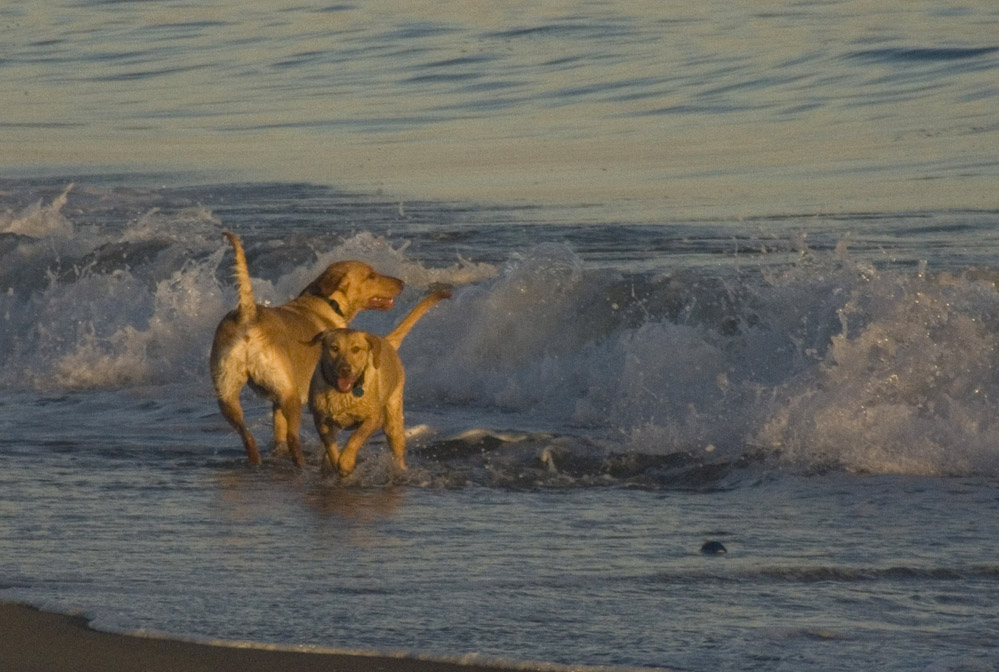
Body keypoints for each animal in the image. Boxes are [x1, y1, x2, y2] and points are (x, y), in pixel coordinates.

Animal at [210, 231, 402, 468]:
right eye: (371, 276)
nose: (402, 282)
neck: (326, 302)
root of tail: (248, 314)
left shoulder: (276, 402)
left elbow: (278, 434)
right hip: (290, 395)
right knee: (293, 438)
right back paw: (301, 464)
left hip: (227, 394)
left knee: (247, 436)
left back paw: (258, 461)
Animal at [308, 286, 454, 476]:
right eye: (334, 348)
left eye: (356, 349)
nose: (345, 369)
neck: (342, 393)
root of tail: (387, 341)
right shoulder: (321, 420)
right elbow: (330, 446)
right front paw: (334, 462)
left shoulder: (373, 419)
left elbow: (356, 438)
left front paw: (346, 461)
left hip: (393, 418)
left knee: (396, 447)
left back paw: (399, 470)